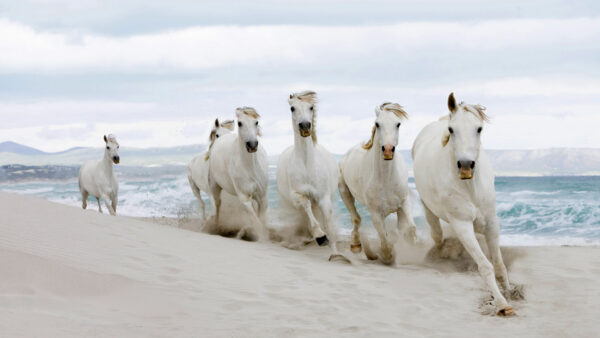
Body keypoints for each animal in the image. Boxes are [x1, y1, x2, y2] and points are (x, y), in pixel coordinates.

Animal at [210, 107, 268, 239]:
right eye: (240, 123)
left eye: (256, 122)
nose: (252, 145)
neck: (250, 168)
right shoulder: (244, 198)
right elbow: (257, 222)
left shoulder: (262, 198)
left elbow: (261, 220)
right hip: (215, 188)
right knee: (217, 206)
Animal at [276, 91, 344, 260]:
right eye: (292, 108)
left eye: (311, 107)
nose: (305, 125)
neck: (307, 165)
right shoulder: (296, 195)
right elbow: (306, 206)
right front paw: (320, 236)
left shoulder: (324, 198)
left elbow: (328, 224)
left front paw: (336, 255)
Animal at [338, 102, 418, 264]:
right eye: (377, 124)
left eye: (398, 124)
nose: (387, 150)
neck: (386, 179)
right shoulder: (375, 213)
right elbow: (384, 240)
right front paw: (385, 256)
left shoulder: (404, 203)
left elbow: (410, 228)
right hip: (344, 192)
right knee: (356, 218)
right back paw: (356, 245)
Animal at [412, 93, 516, 316]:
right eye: (452, 130)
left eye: (479, 128)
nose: (466, 166)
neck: (470, 188)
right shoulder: (462, 225)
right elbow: (485, 266)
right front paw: (502, 304)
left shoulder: (491, 223)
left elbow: (499, 264)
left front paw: (510, 292)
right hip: (430, 210)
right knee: (437, 235)